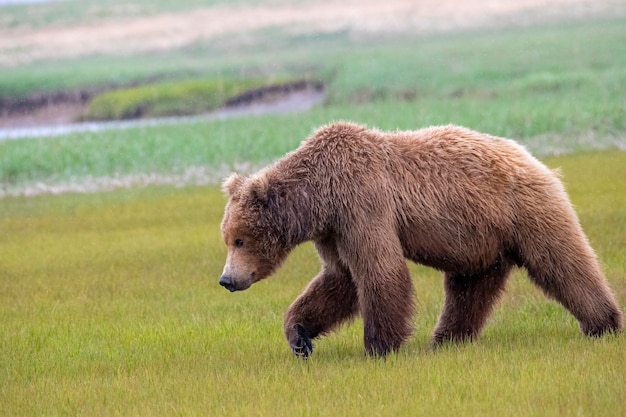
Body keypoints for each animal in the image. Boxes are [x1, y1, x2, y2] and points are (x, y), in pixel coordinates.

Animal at [217, 121, 620, 358]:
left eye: (239, 240)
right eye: (228, 238)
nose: (226, 279)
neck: (319, 198)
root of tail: (533, 157)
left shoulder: (363, 203)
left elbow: (379, 271)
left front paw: (380, 346)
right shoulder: (335, 229)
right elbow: (340, 279)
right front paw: (299, 336)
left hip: (524, 210)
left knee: (562, 262)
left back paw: (604, 324)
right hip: (481, 240)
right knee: (469, 288)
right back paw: (447, 339)